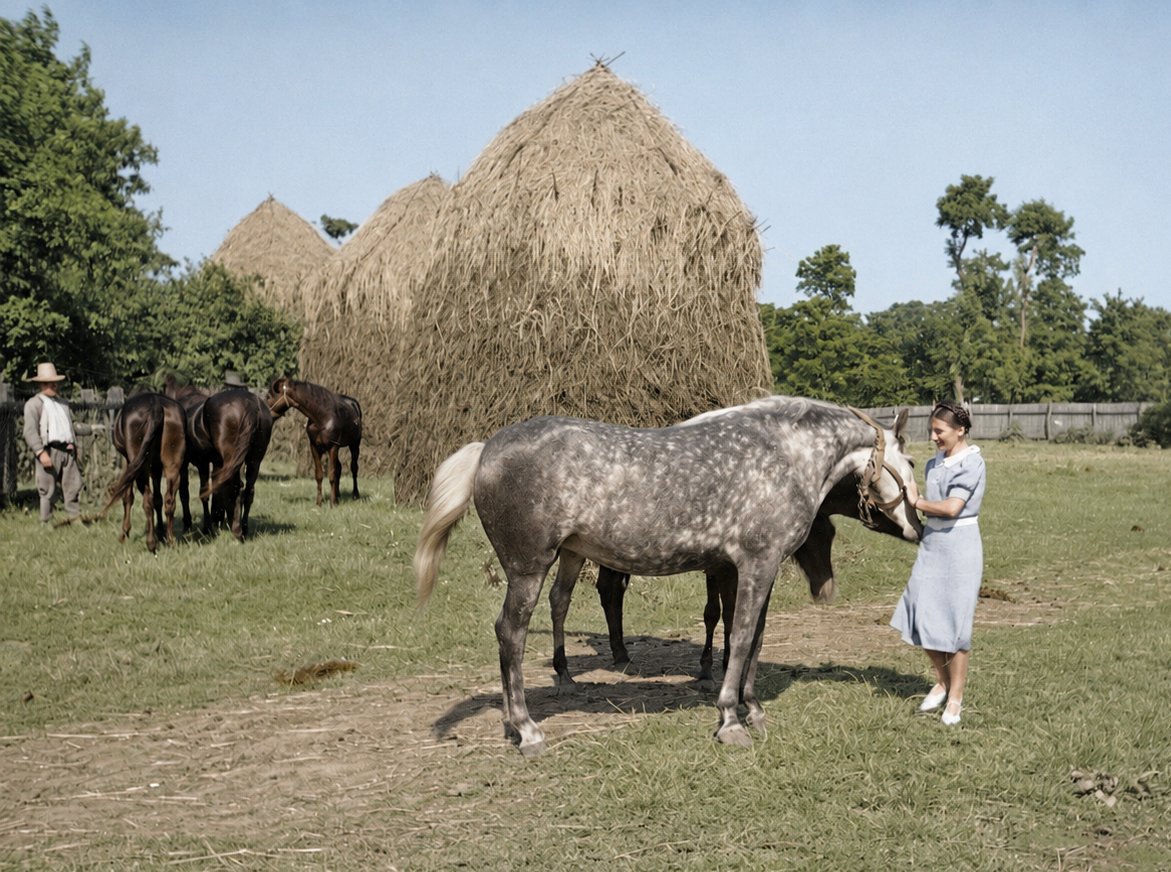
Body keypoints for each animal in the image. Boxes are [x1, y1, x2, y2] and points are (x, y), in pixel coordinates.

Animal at [102, 392, 187, 553]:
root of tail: (156, 405)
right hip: (172, 465)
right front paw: (160, 531)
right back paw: (170, 541)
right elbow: (158, 499)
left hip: (139, 465)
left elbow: (128, 496)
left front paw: (124, 533)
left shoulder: (129, 462)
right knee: (169, 500)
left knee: (147, 499)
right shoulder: (155, 466)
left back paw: (151, 543)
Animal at [267, 376, 362, 506]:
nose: (264, 412)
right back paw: (337, 497)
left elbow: (331, 475)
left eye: (269, 396)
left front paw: (331, 503)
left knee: (354, 468)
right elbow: (319, 475)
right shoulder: (315, 447)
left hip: (354, 445)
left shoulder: (333, 447)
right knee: (339, 468)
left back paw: (355, 495)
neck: (322, 417)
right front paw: (319, 502)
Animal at [556, 468, 909, 690]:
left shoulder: (725, 568)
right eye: (819, 535)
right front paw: (714, 666)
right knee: (605, 591)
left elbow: (726, 614)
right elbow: (720, 614)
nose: (825, 589)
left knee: (609, 591)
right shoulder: (722, 568)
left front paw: (722, 664)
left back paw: (620, 653)